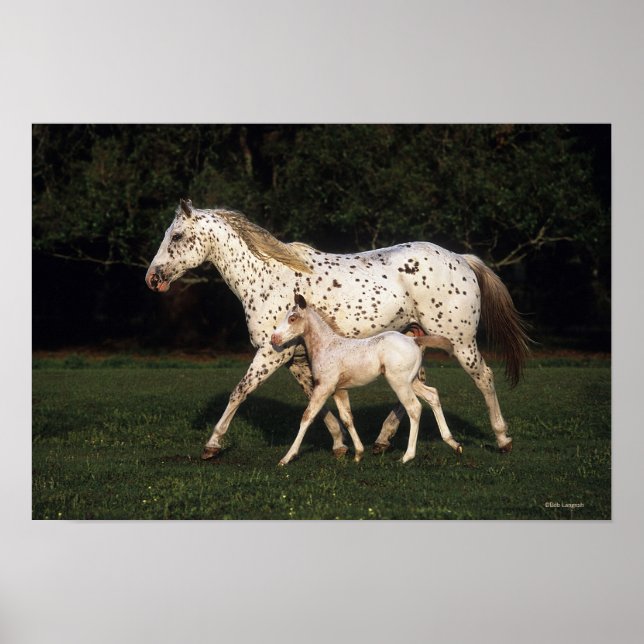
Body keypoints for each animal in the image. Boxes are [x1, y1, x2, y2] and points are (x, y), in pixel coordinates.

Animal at [271, 294, 461, 465]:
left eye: (292, 318)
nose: (274, 338)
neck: (327, 347)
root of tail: (414, 340)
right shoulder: (339, 390)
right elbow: (347, 418)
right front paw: (358, 454)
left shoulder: (324, 387)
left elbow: (307, 416)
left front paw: (287, 458)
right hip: (411, 381)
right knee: (432, 395)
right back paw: (453, 443)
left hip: (399, 383)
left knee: (414, 408)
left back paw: (407, 456)